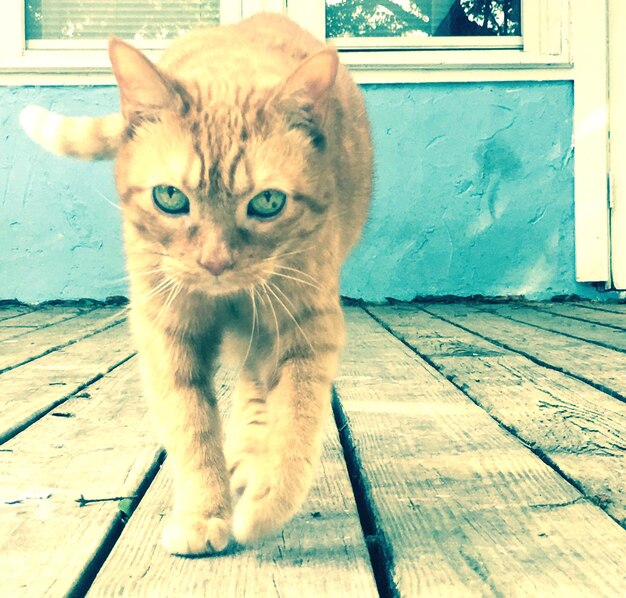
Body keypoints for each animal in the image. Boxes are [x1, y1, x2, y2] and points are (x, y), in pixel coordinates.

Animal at [20, 11, 370, 556]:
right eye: (170, 198)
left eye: (267, 202)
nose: (215, 262)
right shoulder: (167, 332)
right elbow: (191, 426)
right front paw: (204, 512)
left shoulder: (307, 327)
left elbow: (295, 423)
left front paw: (264, 507)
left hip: (265, 330)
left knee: (256, 389)